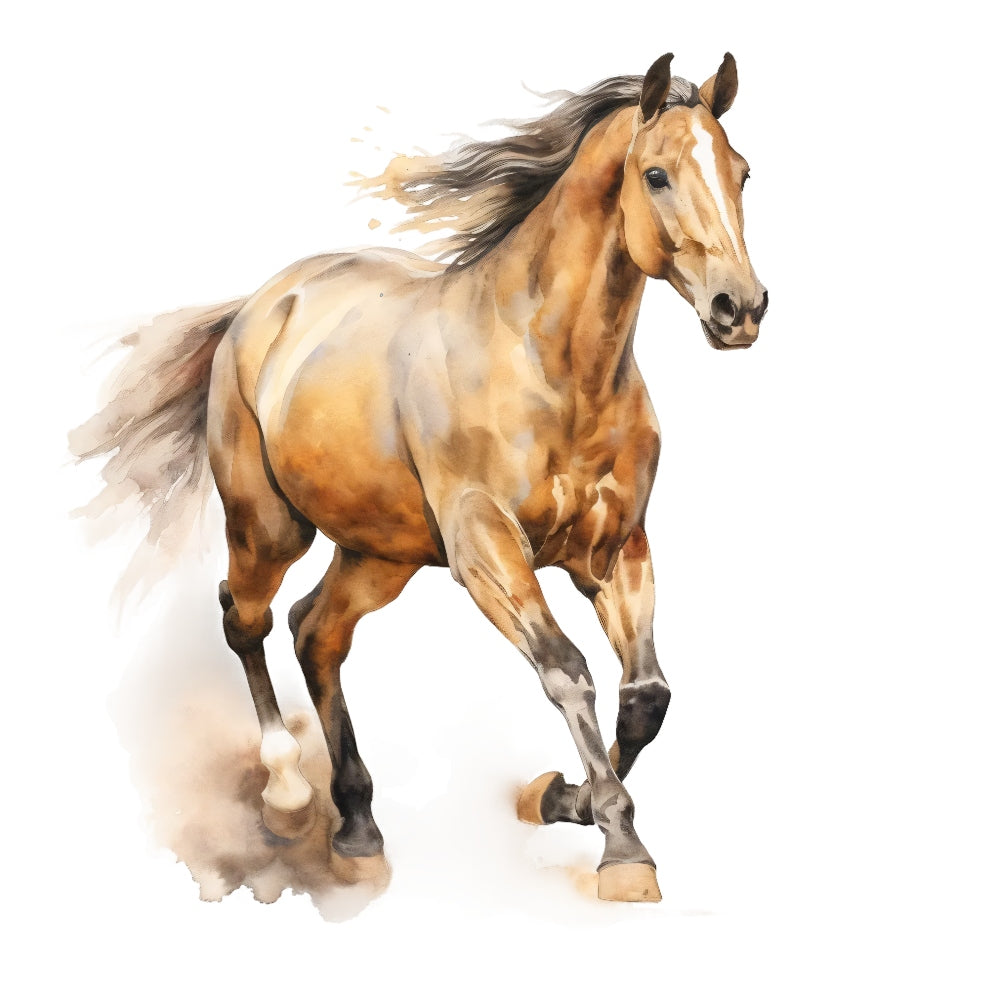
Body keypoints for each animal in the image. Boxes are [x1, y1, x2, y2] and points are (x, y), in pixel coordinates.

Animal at [72, 52, 767, 903]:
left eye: (742, 171)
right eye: (657, 173)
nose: (741, 308)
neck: (553, 370)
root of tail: (261, 304)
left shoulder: (615, 551)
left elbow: (647, 700)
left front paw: (556, 797)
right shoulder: (484, 547)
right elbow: (568, 672)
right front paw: (623, 849)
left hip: (383, 553)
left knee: (316, 632)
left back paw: (358, 829)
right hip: (269, 526)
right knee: (247, 617)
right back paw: (287, 793)